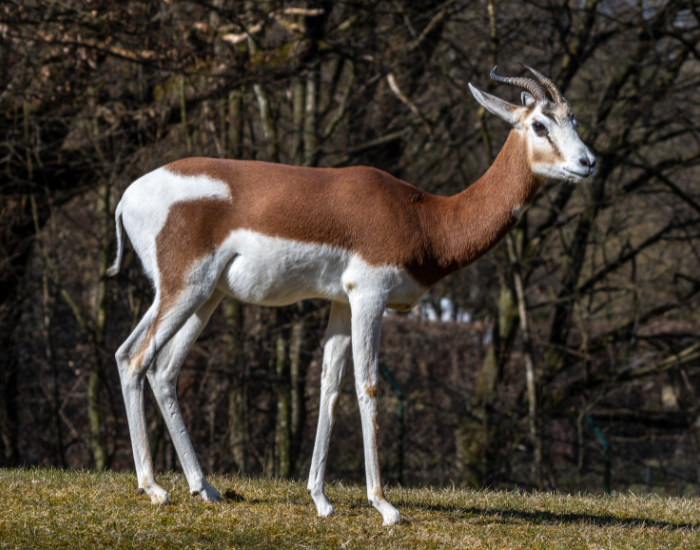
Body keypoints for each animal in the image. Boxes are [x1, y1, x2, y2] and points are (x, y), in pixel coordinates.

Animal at [109, 65, 595, 525]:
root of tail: (126, 197)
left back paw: (203, 487)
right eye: (540, 124)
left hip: (200, 297)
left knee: (156, 366)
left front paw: (320, 499)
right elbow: (367, 385)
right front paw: (384, 505)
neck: (425, 219)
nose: (588, 162)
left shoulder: (341, 303)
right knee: (136, 359)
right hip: (184, 289)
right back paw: (153, 488)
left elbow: (329, 386)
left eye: (573, 118)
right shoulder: (370, 297)